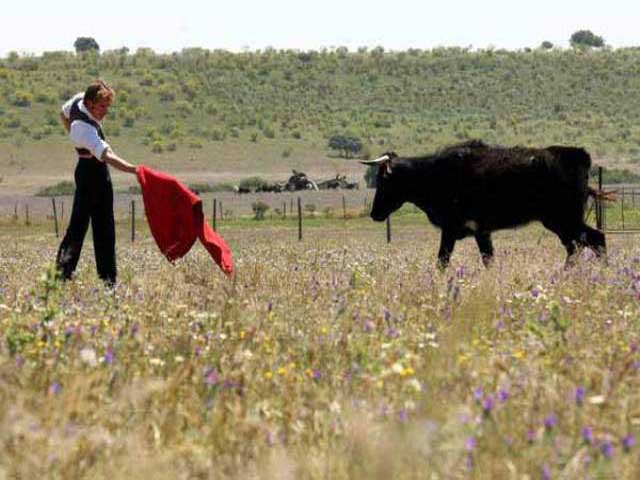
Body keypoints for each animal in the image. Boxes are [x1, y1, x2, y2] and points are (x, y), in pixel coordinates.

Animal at [362, 141, 608, 268]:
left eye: (383, 180)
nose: (374, 213)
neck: (432, 174)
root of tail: (580, 156)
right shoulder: (481, 232)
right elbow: (486, 259)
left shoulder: (454, 229)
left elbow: (443, 261)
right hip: (562, 223)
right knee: (579, 246)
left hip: (565, 219)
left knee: (594, 240)